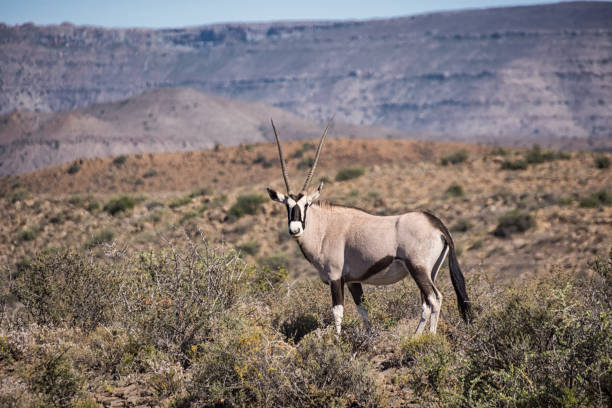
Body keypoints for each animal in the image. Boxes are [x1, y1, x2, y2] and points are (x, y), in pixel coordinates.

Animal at [266, 120, 470, 334]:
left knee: (435, 298)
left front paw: (337, 340)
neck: (324, 229)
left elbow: (337, 312)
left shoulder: (335, 277)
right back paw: (415, 336)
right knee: (426, 303)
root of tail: (436, 224)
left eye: (306, 204)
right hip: (430, 272)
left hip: (419, 268)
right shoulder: (353, 281)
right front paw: (369, 336)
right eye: (286, 205)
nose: (295, 229)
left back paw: (429, 337)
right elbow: (363, 311)